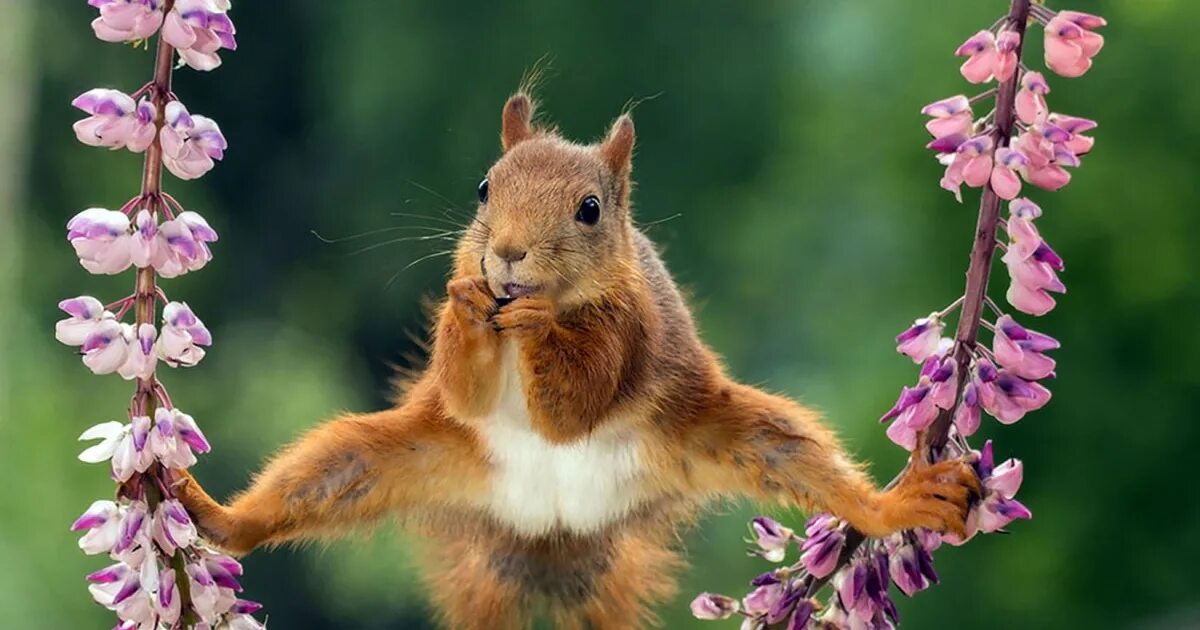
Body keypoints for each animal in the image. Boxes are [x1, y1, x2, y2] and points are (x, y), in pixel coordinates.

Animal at [180, 90, 984, 624]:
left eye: (590, 210)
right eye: (484, 188)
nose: (506, 254)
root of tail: (555, 526)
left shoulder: (629, 333)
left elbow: (575, 404)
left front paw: (539, 325)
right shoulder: (466, 373)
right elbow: (465, 389)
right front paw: (467, 303)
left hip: (728, 433)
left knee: (812, 468)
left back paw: (900, 502)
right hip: (393, 456)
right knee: (311, 483)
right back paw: (212, 513)